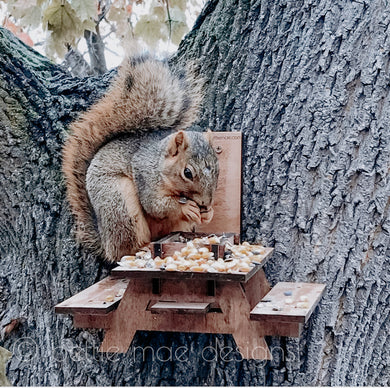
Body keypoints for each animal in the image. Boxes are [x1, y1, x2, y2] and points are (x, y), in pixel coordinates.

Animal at [62, 54, 218, 262]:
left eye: (218, 170)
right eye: (187, 173)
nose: (205, 203)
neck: (160, 165)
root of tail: (105, 243)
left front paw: (209, 214)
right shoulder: (145, 175)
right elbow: (155, 205)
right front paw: (186, 208)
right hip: (119, 204)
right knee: (125, 249)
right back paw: (141, 249)